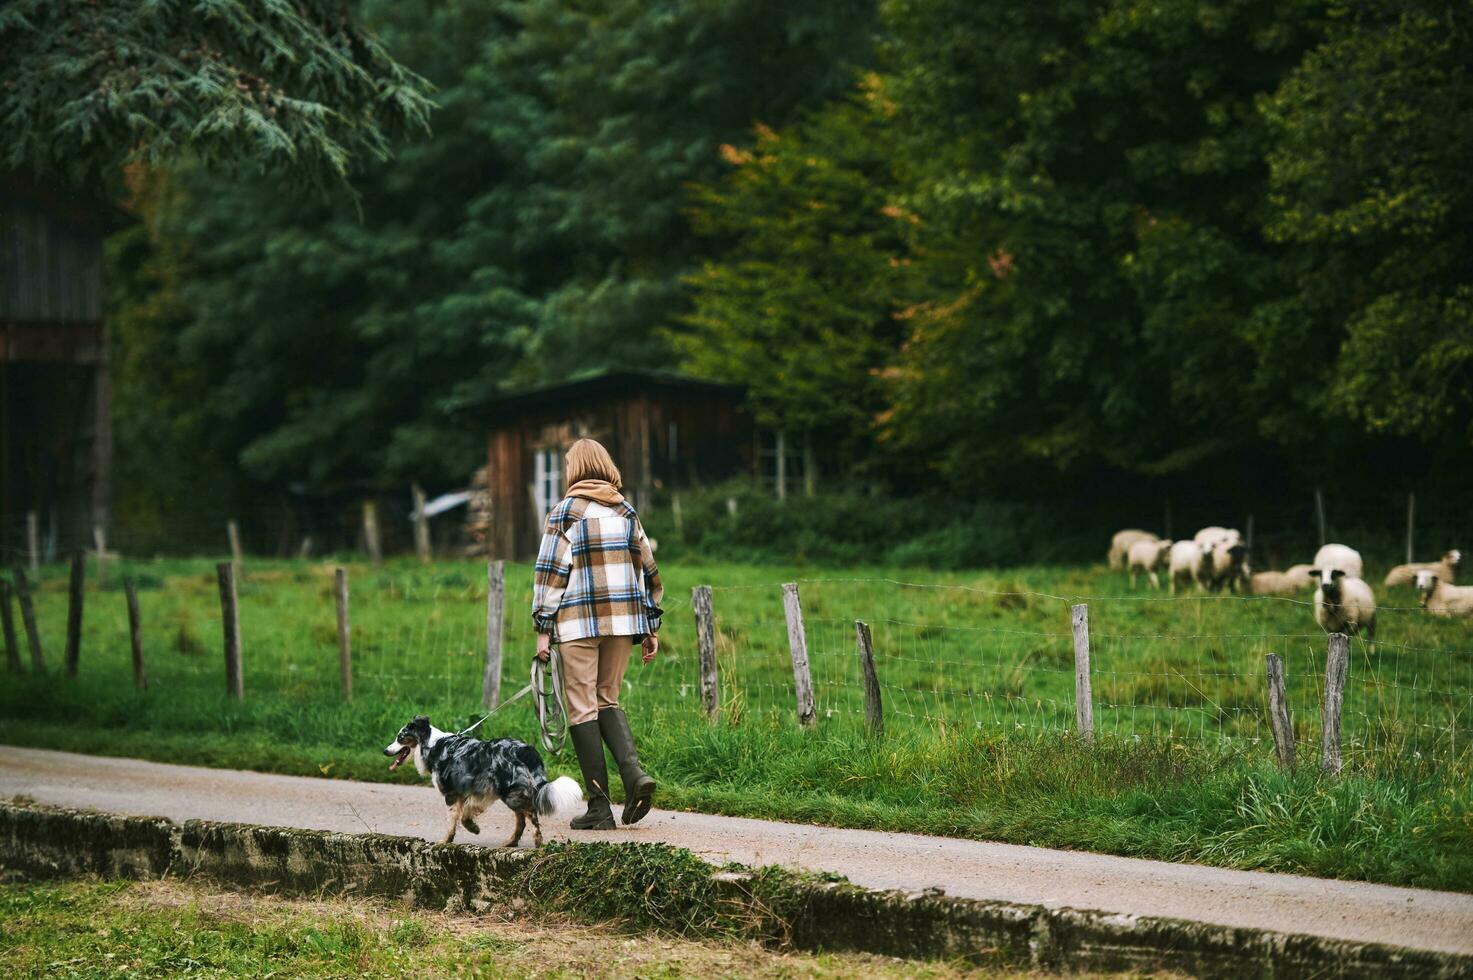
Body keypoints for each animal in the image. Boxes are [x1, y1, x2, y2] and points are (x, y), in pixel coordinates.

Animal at [385, 716, 580, 842]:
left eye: (400, 737)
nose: (385, 751)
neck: (433, 745)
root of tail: (526, 750)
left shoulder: (452, 793)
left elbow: (452, 820)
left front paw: (445, 841)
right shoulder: (478, 791)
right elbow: (466, 813)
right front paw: (473, 827)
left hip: (510, 793)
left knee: (530, 815)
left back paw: (537, 841)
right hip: (510, 792)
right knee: (522, 820)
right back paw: (512, 842)